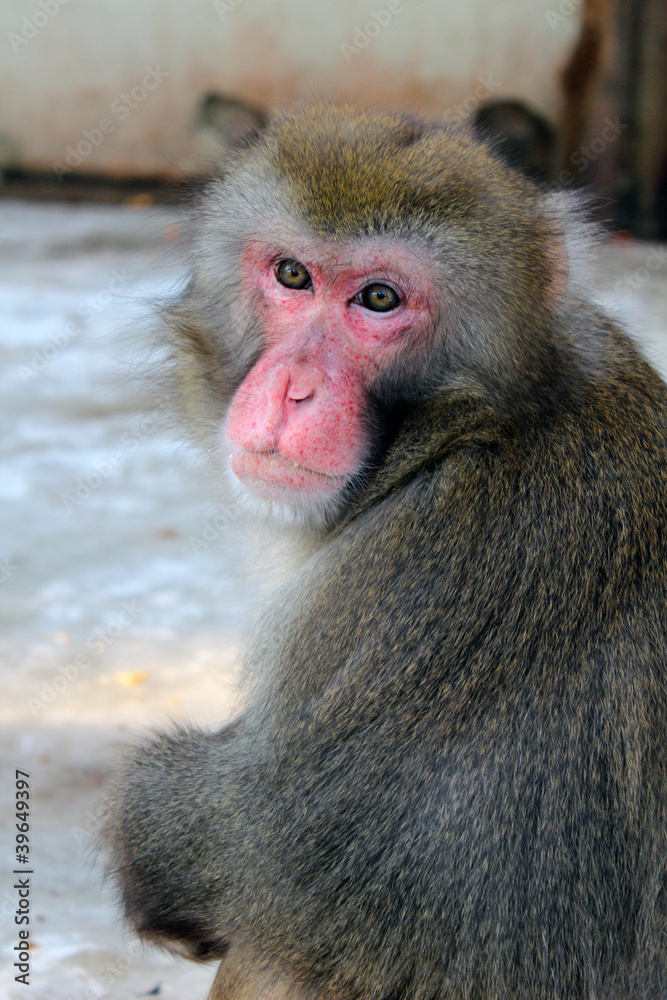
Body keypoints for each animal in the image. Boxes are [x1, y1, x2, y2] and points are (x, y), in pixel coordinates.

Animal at [103, 106, 667, 1000]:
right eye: (292, 275)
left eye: (377, 299)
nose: (293, 387)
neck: (467, 427)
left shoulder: (431, 573)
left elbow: (292, 850)